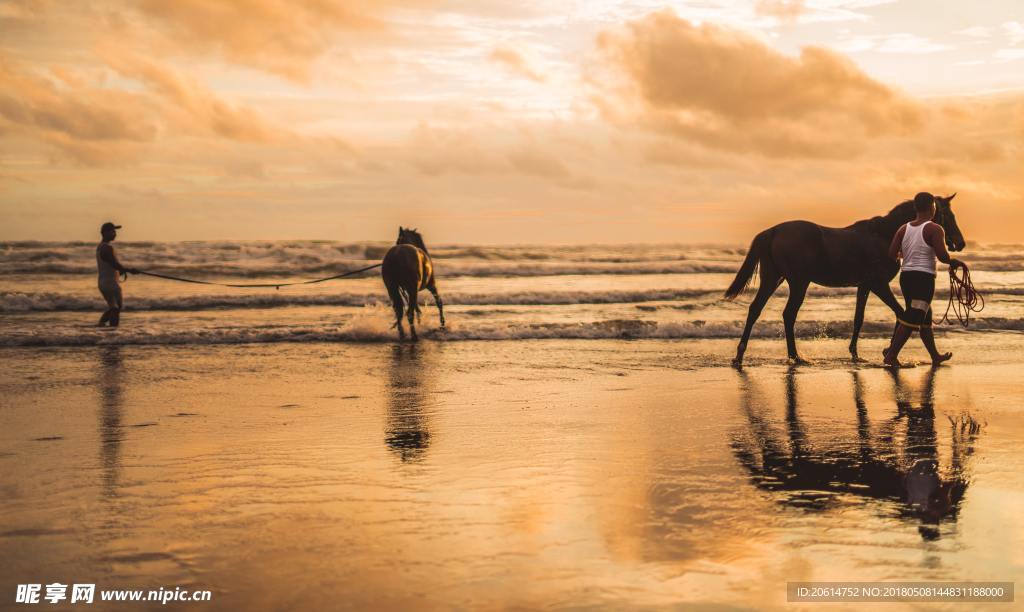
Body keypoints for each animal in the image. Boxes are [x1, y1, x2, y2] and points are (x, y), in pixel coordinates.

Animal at [724, 196, 962, 366]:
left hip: (773, 278)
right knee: (788, 314)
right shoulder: (878, 284)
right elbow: (900, 313)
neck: (883, 235)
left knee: (755, 309)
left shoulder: (864, 286)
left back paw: (740, 355)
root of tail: (773, 231)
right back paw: (795, 356)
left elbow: (859, 318)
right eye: (947, 215)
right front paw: (888, 352)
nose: (960, 242)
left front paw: (856, 353)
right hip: (798, 282)